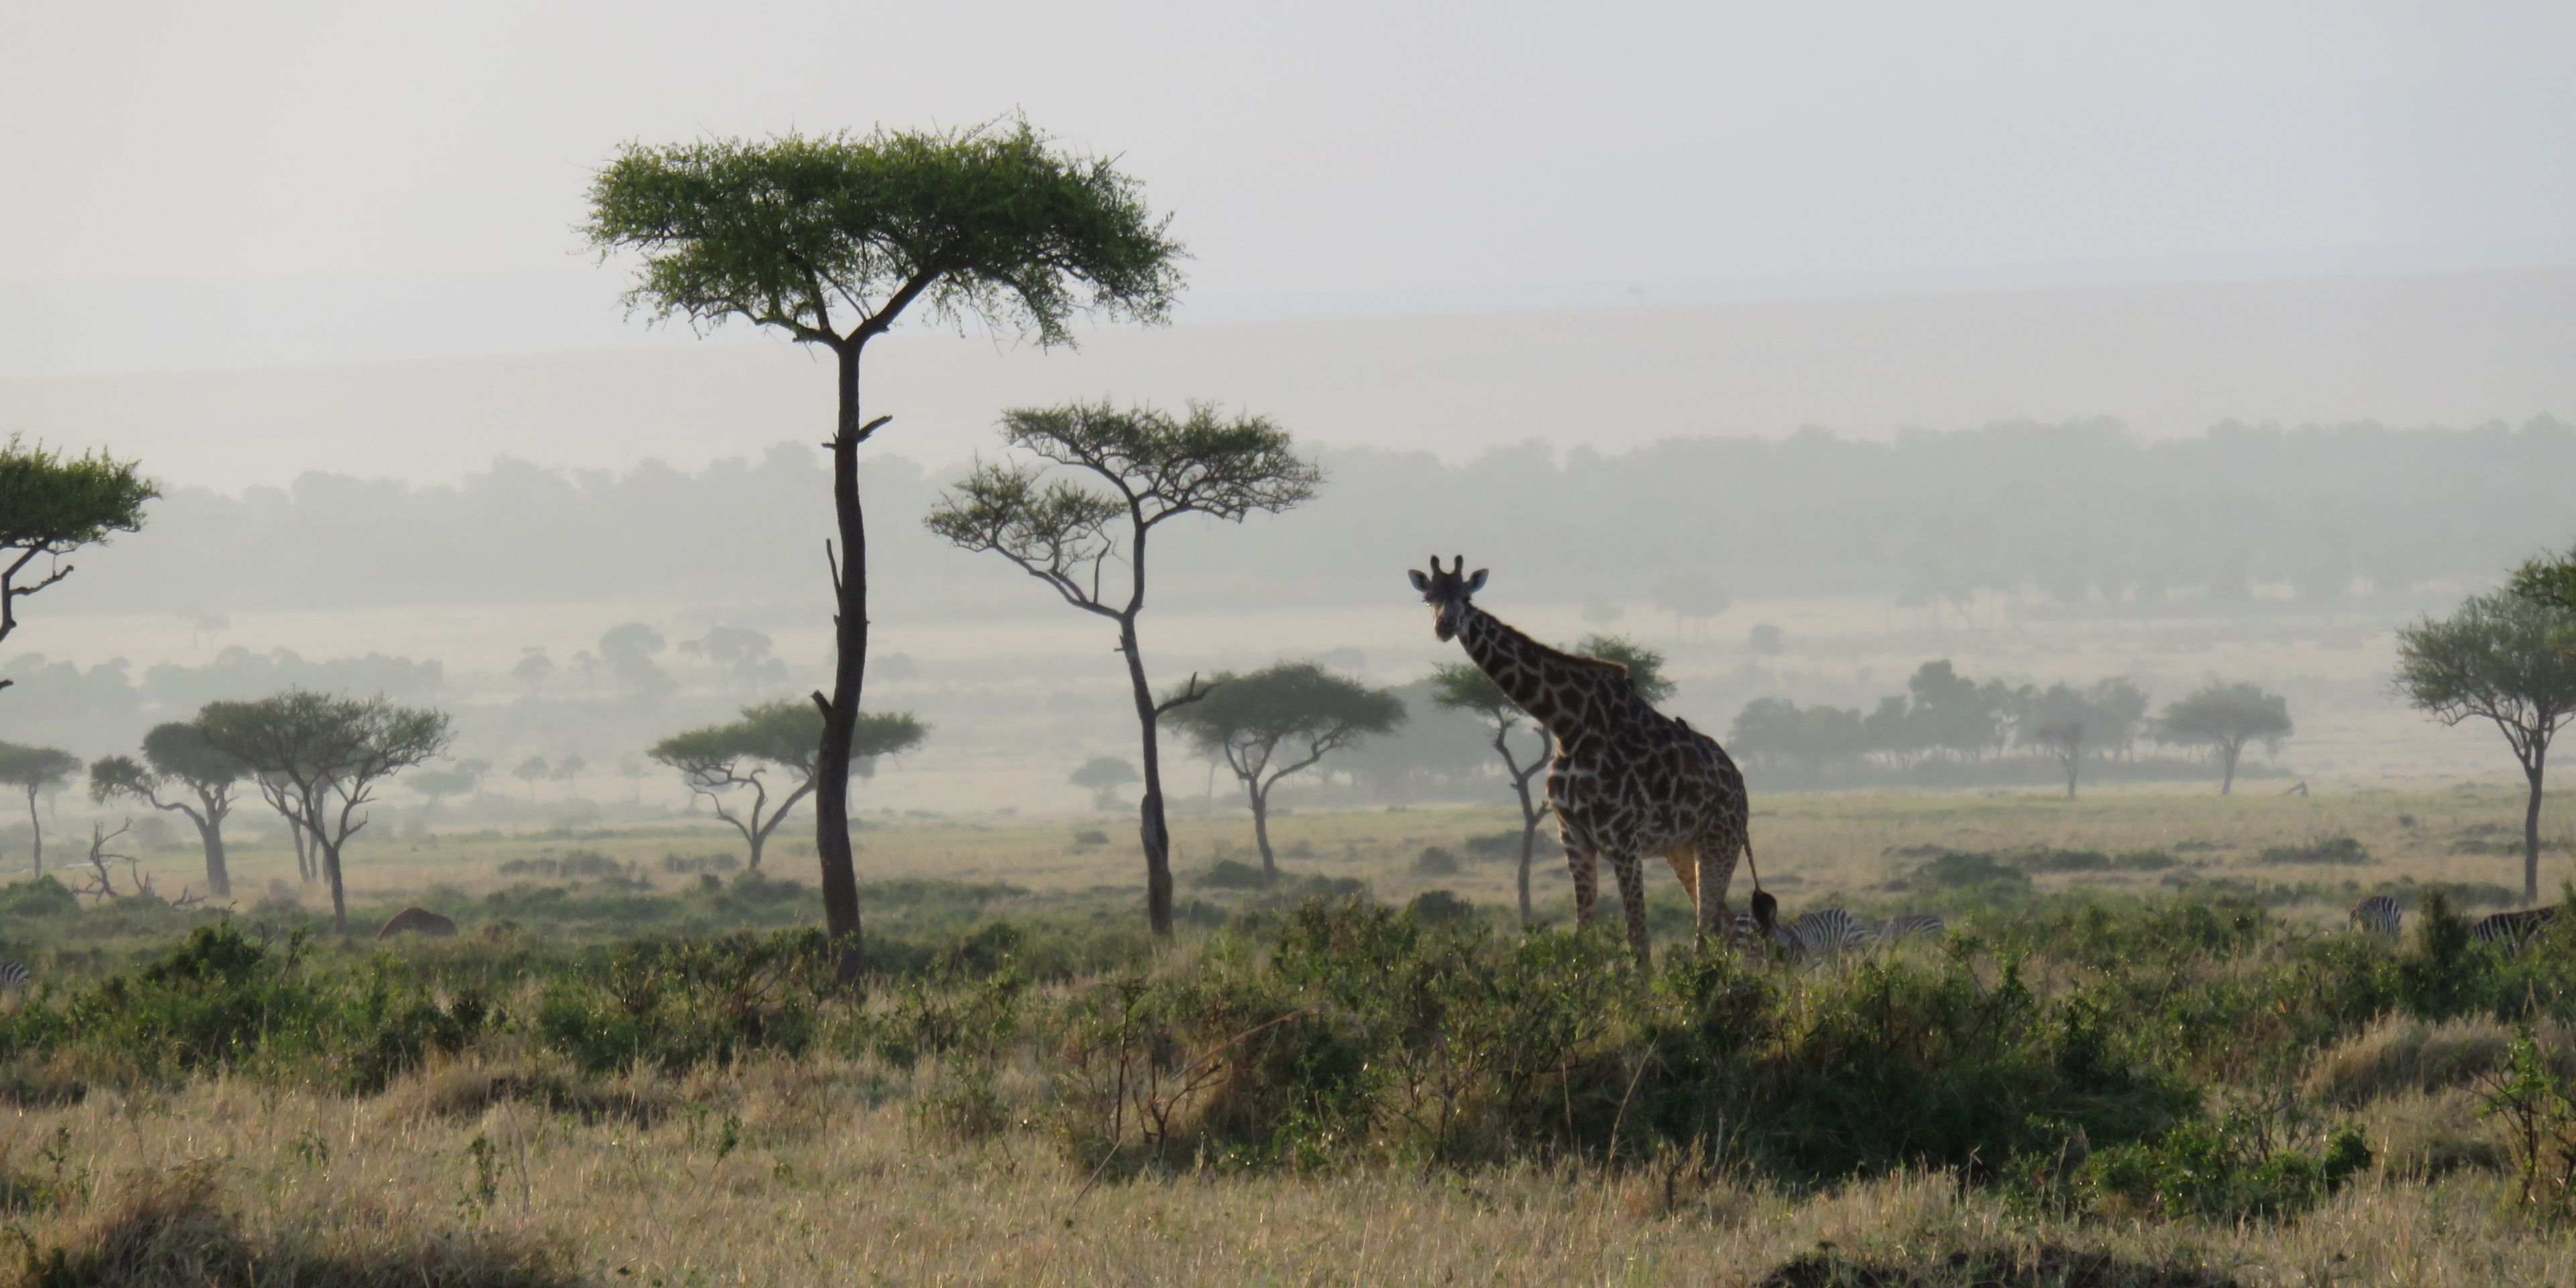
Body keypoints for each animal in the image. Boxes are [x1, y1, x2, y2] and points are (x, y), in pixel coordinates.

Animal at [1409, 555, 1756, 966]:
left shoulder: (1624, 839)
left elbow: (1638, 939)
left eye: (1466, 597)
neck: (1567, 725)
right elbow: (1583, 936)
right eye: (1429, 598)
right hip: (1682, 848)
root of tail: (1739, 782)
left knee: (1710, 928)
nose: (1444, 626)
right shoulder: (1573, 836)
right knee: (1725, 924)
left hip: (1720, 838)